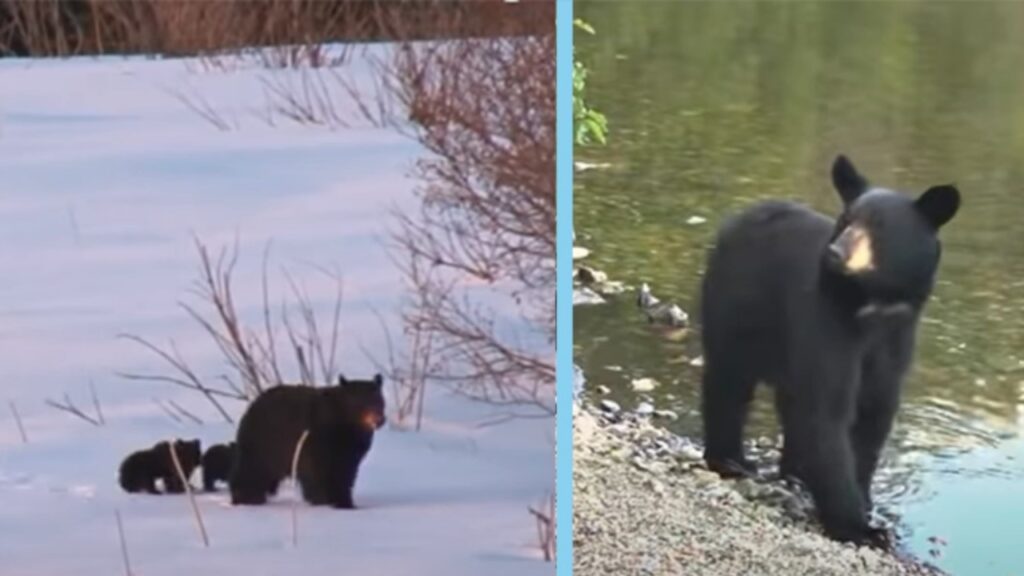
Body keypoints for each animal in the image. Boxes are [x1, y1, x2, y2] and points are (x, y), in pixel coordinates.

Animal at [230, 373, 385, 506]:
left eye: (379, 401)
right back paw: (247, 497)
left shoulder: (351, 448)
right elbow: (318, 473)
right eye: (361, 402)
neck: (346, 424)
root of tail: (251, 406)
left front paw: (345, 502)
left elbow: (345, 474)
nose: (379, 420)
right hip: (263, 442)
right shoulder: (318, 438)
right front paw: (325, 501)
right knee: (252, 471)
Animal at [696, 154, 958, 545]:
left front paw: (866, 502)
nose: (836, 253)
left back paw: (793, 471)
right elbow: (827, 413)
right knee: (729, 381)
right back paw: (731, 460)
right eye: (847, 220)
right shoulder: (826, 321)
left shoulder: (897, 339)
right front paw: (859, 528)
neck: (872, 305)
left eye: (878, 227)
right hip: (735, 307)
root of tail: (739, 217)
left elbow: (873, 415)